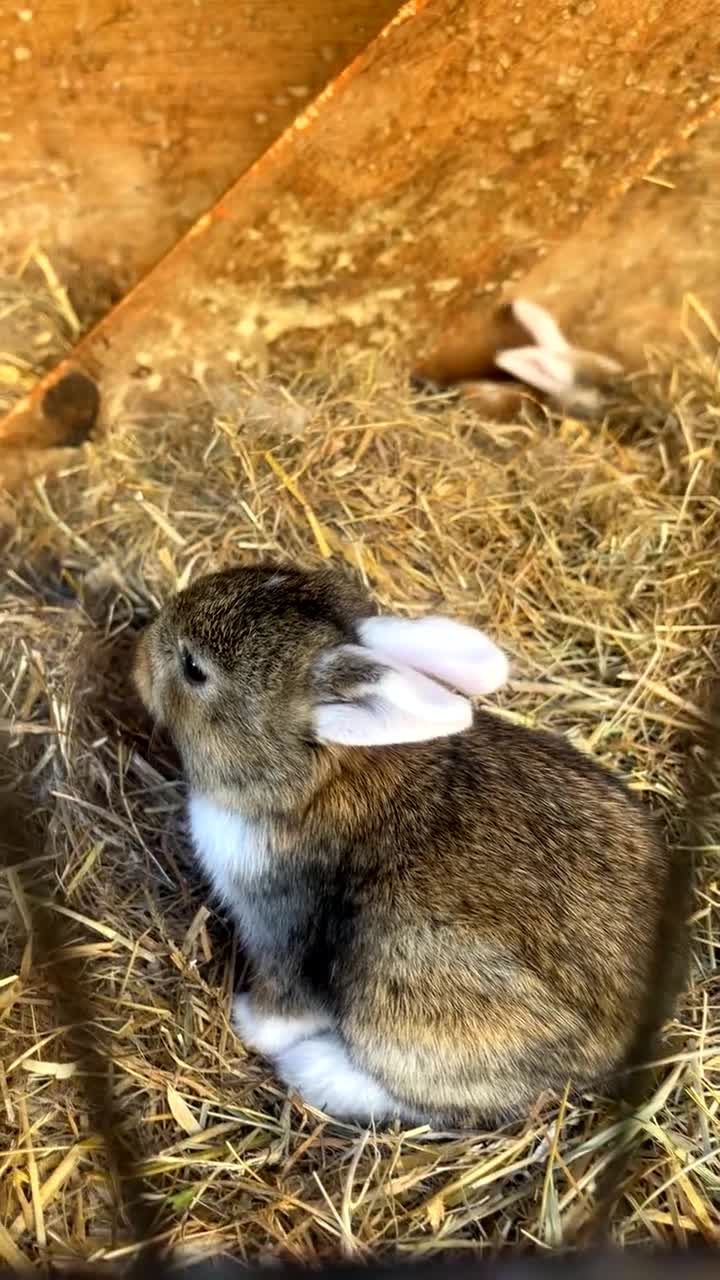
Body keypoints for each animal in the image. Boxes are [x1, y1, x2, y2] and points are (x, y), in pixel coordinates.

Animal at [133, 562, 674, 1127]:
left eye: (194, 669)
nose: (141, 651)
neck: (308, 780)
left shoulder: (284, 927)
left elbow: (285, 1003)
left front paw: (248, 1024)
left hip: (407, 998)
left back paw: (315, 1069)